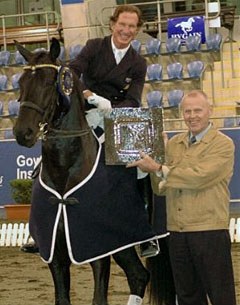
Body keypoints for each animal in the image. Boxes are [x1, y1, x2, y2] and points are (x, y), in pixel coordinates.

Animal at [12, 37, 159, 304]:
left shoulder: (97, 249)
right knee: (138, 276)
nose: (22, 133)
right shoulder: (55, 253)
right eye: (21, 83)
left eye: (49, 83)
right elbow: (62, 298)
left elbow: (99, 298)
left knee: (140, 275)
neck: (65, 172)